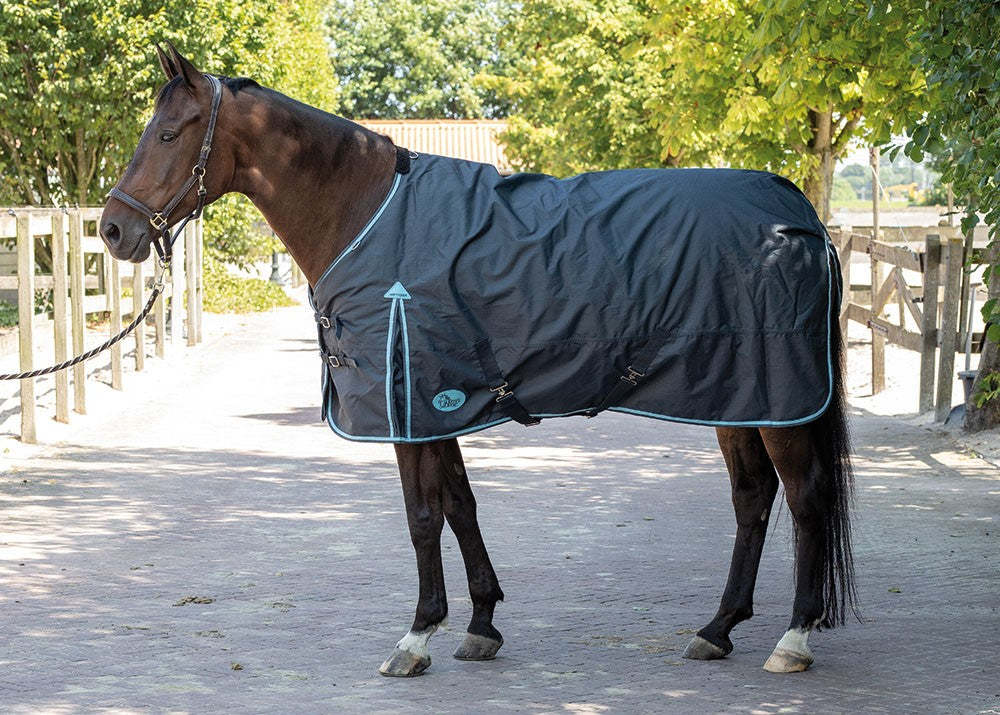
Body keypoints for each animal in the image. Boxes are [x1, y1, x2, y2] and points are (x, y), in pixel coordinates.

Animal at [100, 45, 857, 678]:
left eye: (170, 133)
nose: (113, 228)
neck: (368, 213)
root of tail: (800, 216)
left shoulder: (407, 404)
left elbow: (422, 517)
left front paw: (416, 636)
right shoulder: (442, 403)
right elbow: (460, 505)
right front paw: (481, 624)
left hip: (780, 400)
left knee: (806, 498)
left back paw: (793, 638)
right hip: (739, 396)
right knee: (753, 499)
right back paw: (718, 628)